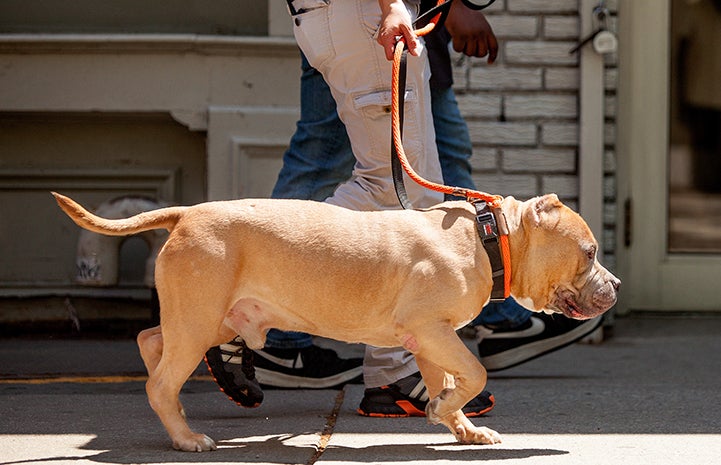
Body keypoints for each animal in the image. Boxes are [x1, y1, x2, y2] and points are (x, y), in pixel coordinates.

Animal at [53, 191, 620, 450]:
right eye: (590, 253)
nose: (614, 286)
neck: (489, 238)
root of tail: (187, 212)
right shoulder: (431, 329)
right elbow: (475, 372)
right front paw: (446, 409)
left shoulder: (429, 338)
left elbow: (450, 379)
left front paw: (459, 424)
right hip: (198, 318)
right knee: (162, 379)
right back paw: (186, 437)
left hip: (210, 318)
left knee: (152, 340)